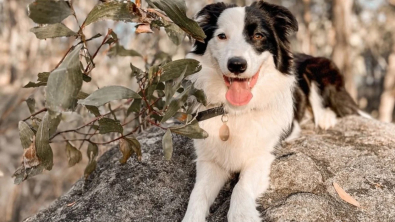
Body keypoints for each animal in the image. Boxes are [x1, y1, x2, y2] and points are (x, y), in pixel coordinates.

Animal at [183, 0, 366, 221]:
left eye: (258, 36)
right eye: (222, 36)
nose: (237, 65)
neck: (236, 111)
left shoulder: (261, 156)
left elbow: (241, 188)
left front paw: (243, 215)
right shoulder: (209, 160)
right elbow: (197, 194)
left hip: (317, 67)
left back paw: (325, 118)